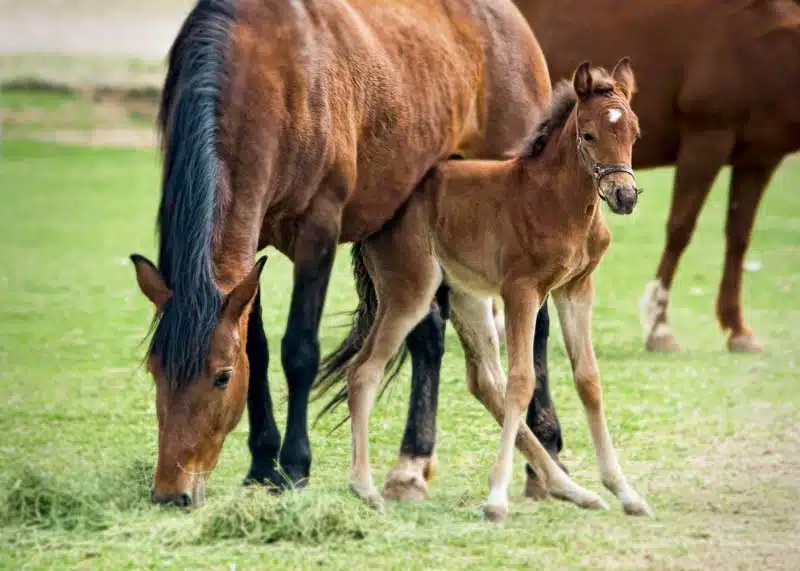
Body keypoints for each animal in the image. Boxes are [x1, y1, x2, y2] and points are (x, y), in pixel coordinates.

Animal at [128, 0, 556, 506]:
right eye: (155, 370)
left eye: (221, 376)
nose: (171, 492)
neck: (270, 74)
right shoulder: (252, 247)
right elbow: (259, 348)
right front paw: (261, 465)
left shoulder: (319, 232)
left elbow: (299, 350)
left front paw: (294, 467)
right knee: (428, 334)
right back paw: (412, 465)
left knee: (537, 327)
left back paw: (544, 453)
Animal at [320, 60, 652, 520]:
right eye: (588, 134)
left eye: (634, 133)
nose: (624, 196)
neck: (556, 200)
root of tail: (378, 215)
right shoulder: (522, 291)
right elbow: (522, 381)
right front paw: (495, 498)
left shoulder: (575, 289)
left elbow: (588, 380)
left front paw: (625, 492)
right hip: (410, 291)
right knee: (365, 371)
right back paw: (366, 488)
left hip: (466, 295)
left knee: (484, 382)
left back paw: (573, 489)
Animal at [512, 0, 800, 353]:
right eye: (589, 135)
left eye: (636, 136)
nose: (625, 196)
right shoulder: (707, 137)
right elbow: (680, 229)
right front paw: (660, 326)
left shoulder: (759, 157)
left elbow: (739, 238)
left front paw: (739, 330)